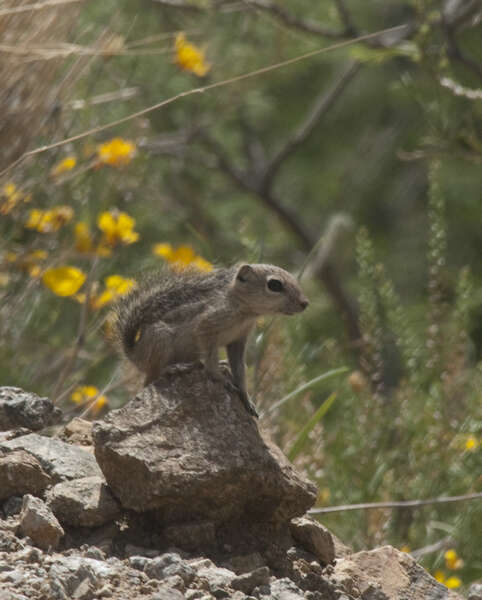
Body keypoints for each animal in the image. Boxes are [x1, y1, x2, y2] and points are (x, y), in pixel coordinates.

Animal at [113, 262, 308, 418]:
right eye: (274, 285)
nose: (305, 303)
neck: (244, 310)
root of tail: (134, 354)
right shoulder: (206, 327)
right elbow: (210, 358)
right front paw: (220, 379)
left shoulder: (238, 340)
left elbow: (239, 368)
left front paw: (246, 397)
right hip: (160, 340)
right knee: (150, 378)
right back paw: (174, 368)